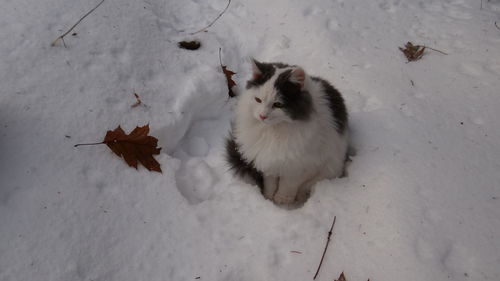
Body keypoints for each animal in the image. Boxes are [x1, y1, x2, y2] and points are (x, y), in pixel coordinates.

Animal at [227, 59, 348, 203]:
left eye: (278, 104)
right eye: (258, 100)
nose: (262, 116)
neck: (274, 131)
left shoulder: (302, 166)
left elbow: (288, 185)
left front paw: (282, 201)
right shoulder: (269, 160)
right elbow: (270, 182)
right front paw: (268, 197)